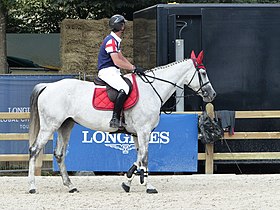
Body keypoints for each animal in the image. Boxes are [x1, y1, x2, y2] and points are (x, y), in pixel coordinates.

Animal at [27, 50, 217, 194]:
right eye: (202, 73)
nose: (212, 94)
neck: (152, 89)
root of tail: (48, 86)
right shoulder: (144, 131)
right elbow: (145, 157)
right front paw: (148, 186)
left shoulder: (136, 133)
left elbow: (139, 157)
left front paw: (127, 182)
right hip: (50, 126)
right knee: (34, 150)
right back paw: (32, 187)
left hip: (65, 125)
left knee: (59, 154)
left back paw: (70, 186)